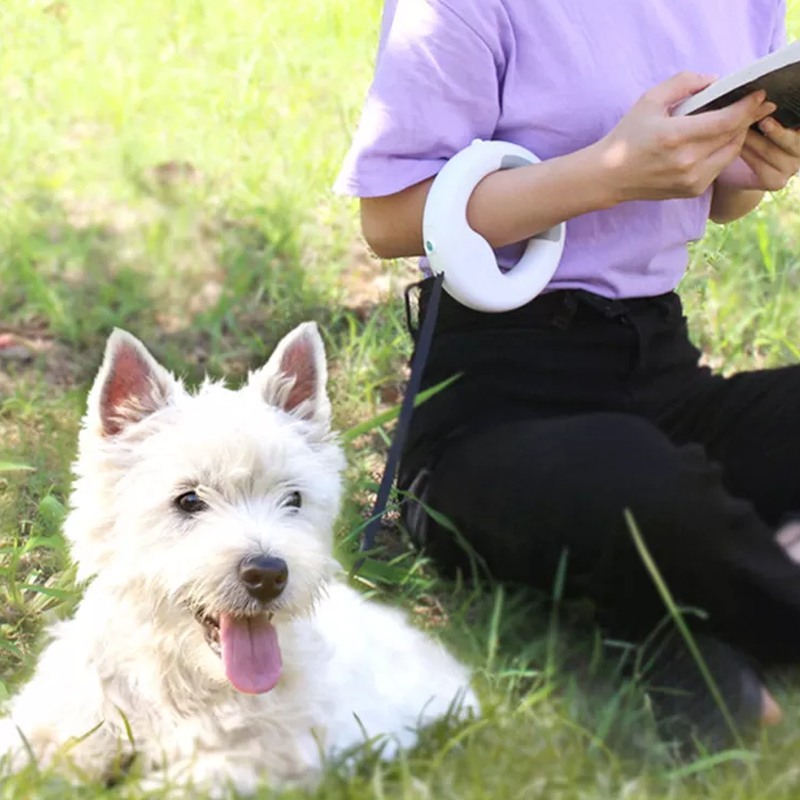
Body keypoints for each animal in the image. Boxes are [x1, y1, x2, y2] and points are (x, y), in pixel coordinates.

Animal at [0, 324, 476, 792]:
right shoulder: (63, 717)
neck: (180, 677)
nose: (267, 575)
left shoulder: (258, 759)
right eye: (189, 499)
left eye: (293, 499)